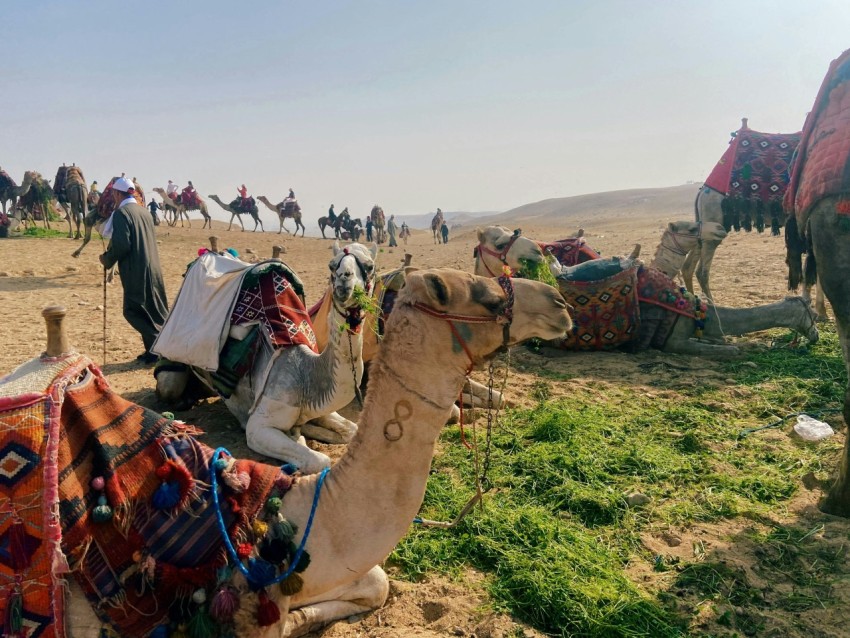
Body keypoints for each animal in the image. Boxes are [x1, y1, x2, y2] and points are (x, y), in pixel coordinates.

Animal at [159, 242, 378, 472]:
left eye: (370, 266)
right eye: (332, 265)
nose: (345, 280)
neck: (307, 375)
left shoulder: (320, 408)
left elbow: (350, 430)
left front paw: (304, 431)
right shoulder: (258, 426)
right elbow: (319, 460)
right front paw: (299, 437)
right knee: (169, 385)